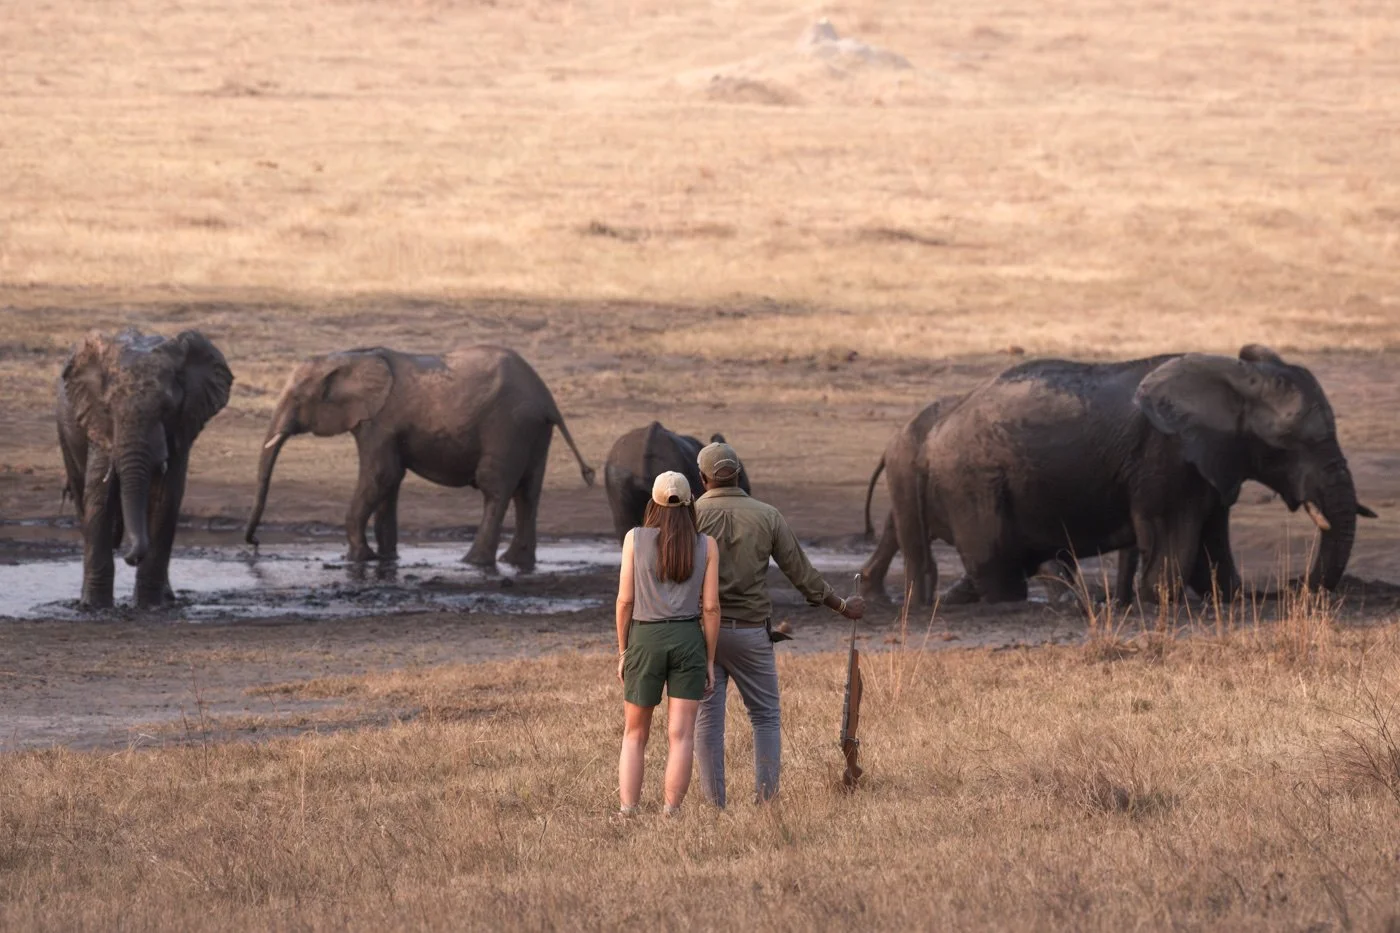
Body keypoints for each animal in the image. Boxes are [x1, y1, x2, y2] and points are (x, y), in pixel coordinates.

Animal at [56, 328, 233, 609]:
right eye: (108, 408)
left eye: (167, 408)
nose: (130, 556)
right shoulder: (98, 423)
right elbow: (99, 498)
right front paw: (94, 607)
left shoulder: (182, 425)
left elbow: (165, 500)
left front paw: (150, 606)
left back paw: (167, 597)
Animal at [245, 345, 595, 571]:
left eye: (297, 398)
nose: (255, 544)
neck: (349, 357)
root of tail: (547, 399)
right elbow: (389, 482)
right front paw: (387, 559)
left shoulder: (381, 422)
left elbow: (380, 475)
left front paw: (359, 558)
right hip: (534, 431)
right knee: (528, 492)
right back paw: (515, 562)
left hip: (508, 426)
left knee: (495, 487)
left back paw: (473, 562)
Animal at [875, 345, 1372, 606]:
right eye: (1289, 442)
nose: (1292, 586)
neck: (1232, 374)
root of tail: (937, 427)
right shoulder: (1165, 456)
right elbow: (1174, 551)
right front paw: (1158, 597)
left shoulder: (1210, 460)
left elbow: (1213, 553)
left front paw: (1233, 594)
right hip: (972, 480)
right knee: (996, 565)